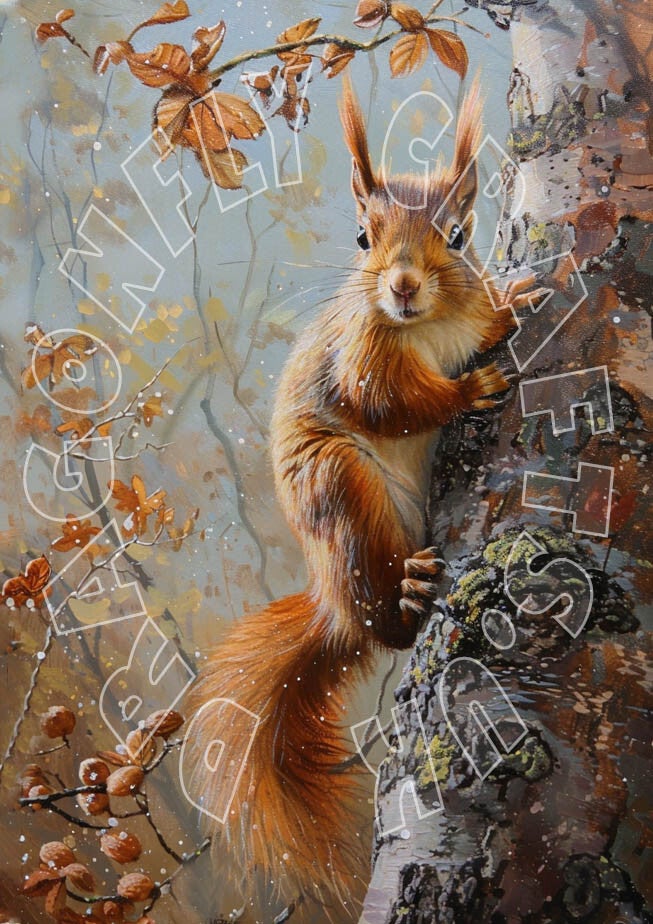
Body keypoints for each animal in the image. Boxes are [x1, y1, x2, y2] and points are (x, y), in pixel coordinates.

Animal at [186, 74, 535, 918]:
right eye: (360, 237)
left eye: (458, 235)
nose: (402, 285)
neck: (427, 325)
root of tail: (331, 604)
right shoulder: (360, 358)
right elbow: (393, 405)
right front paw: (467, 388)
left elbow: (488, 317)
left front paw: (515, 297)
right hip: (342, 491)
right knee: (388, 628)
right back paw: (407, 593)